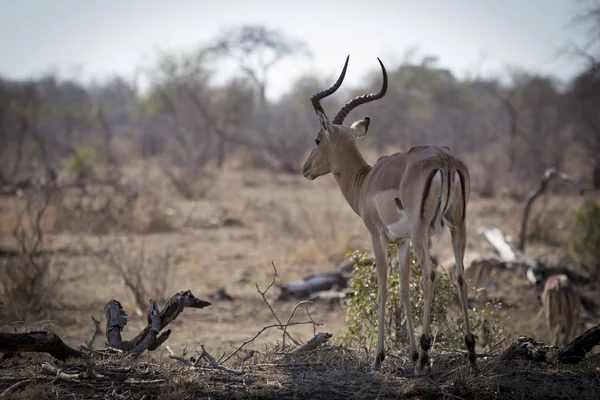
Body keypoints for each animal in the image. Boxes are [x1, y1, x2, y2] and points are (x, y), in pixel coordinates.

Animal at [302, 56, 476, 376]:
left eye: (318, 139)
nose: (305, 169)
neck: (365, 180)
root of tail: (445, 159)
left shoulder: (378, 236)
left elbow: (383, 287)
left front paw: (380, 357)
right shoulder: (402, 242)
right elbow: (404, 289)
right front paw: (410, 353)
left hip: (423, 232)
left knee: (430, 274)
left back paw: (424, 356)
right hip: (458, 226)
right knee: (459, 276)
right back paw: (470, 353)